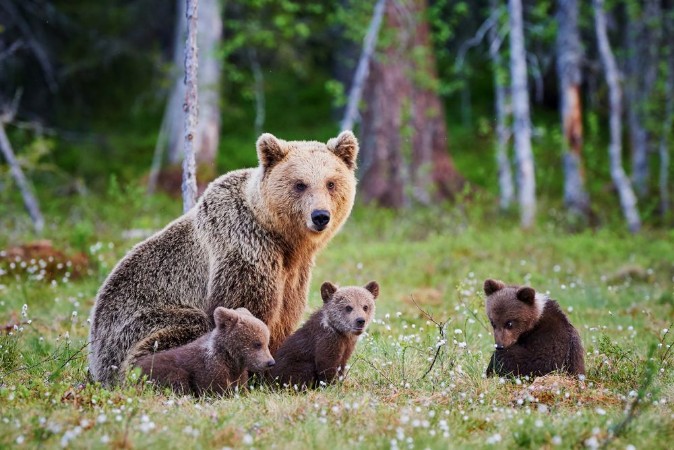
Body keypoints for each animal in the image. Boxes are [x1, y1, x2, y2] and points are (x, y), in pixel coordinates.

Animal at [88, 131, 359, 385]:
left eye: (331, 183)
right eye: (300, 184)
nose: (320, 216)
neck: (282, 239)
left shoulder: (294, 272)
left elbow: (285, 315)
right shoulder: (244, 249)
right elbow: (246, 311)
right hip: (135, 325)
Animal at [135, 307, 275, 396]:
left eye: (267, 342)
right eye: (257, 343)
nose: (270, 362)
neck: (231, 359)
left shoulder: (238, 373)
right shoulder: (209, 368)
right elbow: (214, 388)